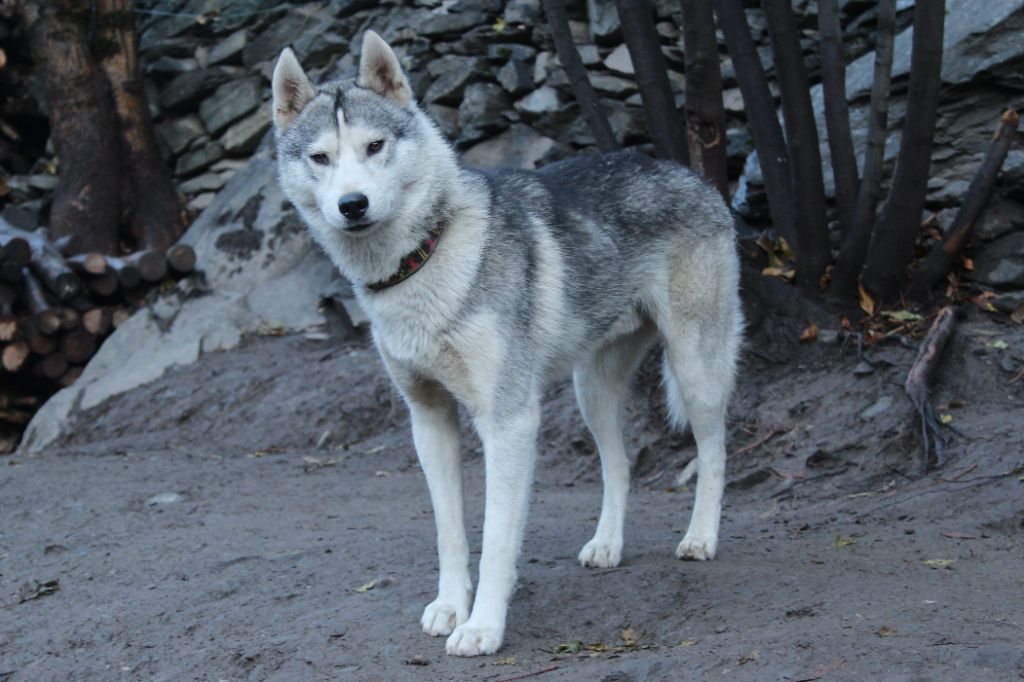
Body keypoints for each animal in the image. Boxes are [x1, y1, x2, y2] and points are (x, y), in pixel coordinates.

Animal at [268, 30, 741, 655]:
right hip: (592, 392)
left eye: (374, 147)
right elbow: (450, 534)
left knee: (714, 449)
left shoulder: (509, 421)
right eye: (320, 158)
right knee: (619, 465)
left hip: (695, 369)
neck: (425, 256)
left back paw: (702, 536)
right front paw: (451, 607)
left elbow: (496, 539)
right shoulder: (429, 420)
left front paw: (483, 627)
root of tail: (684, 172)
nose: (352, 205)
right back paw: (607, 545)